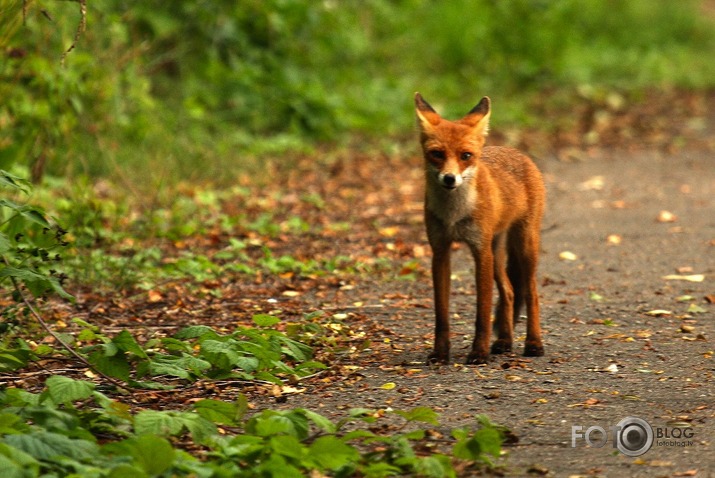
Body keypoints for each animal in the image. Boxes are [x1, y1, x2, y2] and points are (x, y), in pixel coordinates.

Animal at [414, 92, 548, 362]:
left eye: (466, 155)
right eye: (437, 154)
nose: (450, 179)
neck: (454, 215)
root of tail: (516, 151)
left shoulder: (480, 250)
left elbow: (483, 313)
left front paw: (479, 352)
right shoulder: (440, 251)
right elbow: (441, 314)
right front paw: (440, 353)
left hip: (524, 245)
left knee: (531, 293)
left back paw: (533, 343)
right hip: (496, 253)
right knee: (509, 292)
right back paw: (504, 341)